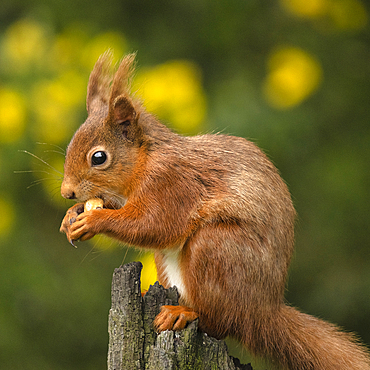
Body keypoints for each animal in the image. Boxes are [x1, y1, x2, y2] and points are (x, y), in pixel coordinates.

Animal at [59, 52, 368, 370]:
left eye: (99, 157)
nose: (66, 192)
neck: (145, 159)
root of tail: (262, 312)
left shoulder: (173, 184)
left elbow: (155, 224)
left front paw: (93, 219)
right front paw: (72, 215)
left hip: (217, 249)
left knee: (220, 323)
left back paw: (185, 313)